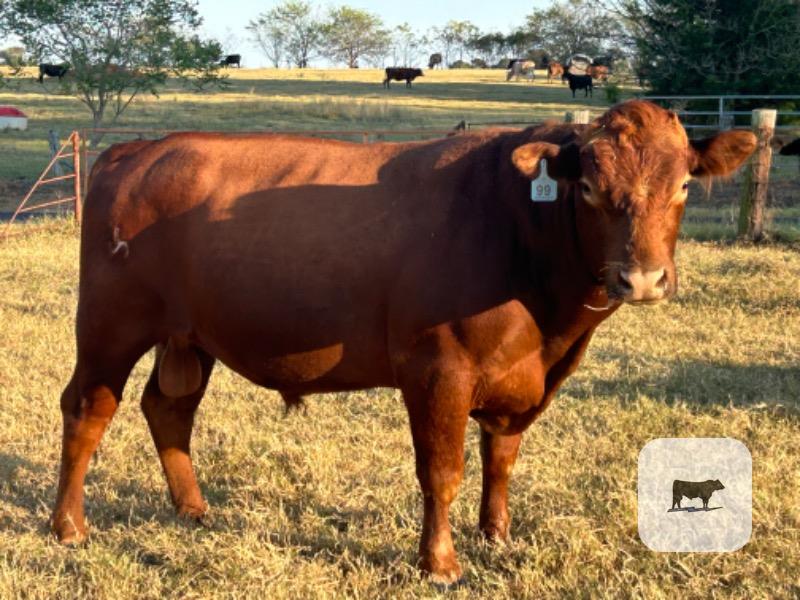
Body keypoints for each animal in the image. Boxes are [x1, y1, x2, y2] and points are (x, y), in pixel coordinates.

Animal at [50, 100, 756, 584]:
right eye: (586, 187)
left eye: (684, 185)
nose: (641, 278)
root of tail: (137, 149)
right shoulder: (437, 369)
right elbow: (442, 469)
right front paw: (439, 562)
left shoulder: (524, 378)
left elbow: (500, 460)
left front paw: (496, 537)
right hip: (110, 325)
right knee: (88, 408)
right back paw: (69, 526)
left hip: (190, 336)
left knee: (169, 410)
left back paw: (193, 509)